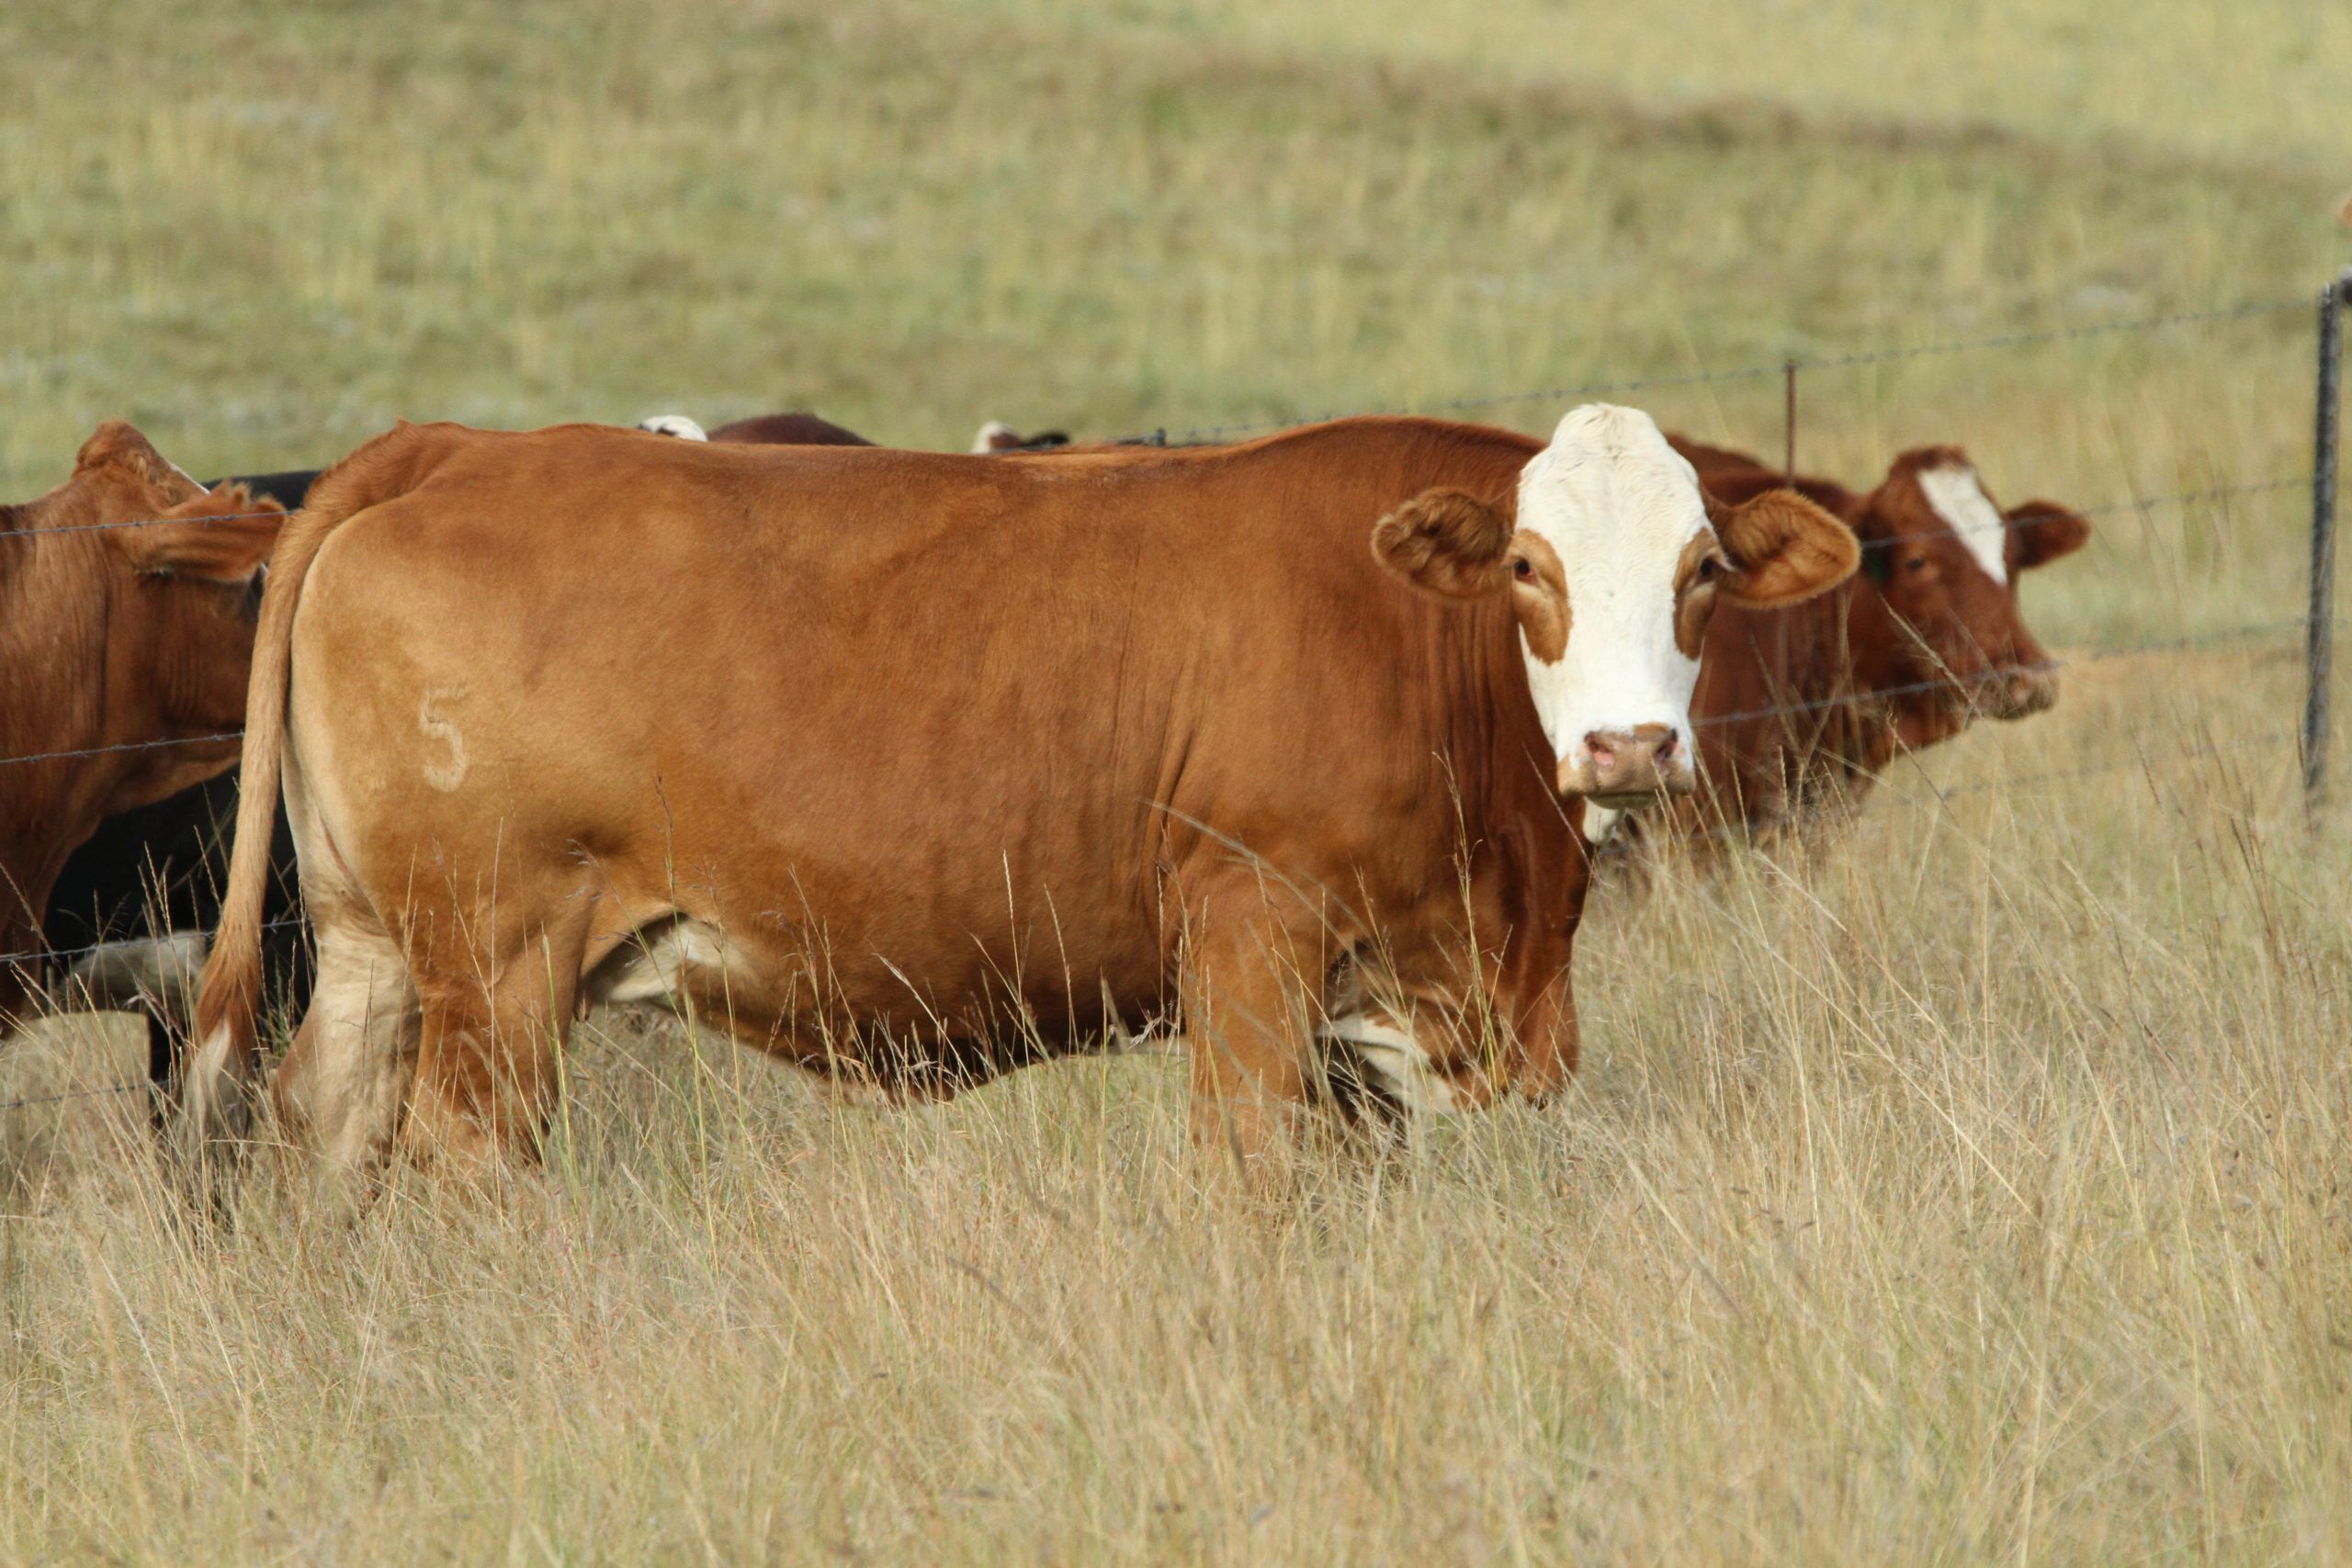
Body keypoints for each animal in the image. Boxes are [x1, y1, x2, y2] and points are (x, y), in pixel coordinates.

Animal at [179, 407, 1855, 1177]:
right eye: (1526, 567)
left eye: (1705, 569)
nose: (1631, 747)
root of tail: (457, 448)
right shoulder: (1253, 946)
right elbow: (1251, 1175)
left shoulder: (1372, 1015)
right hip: (498, 957)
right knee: (469, 1153)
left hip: (375, 948)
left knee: (320, 1123)